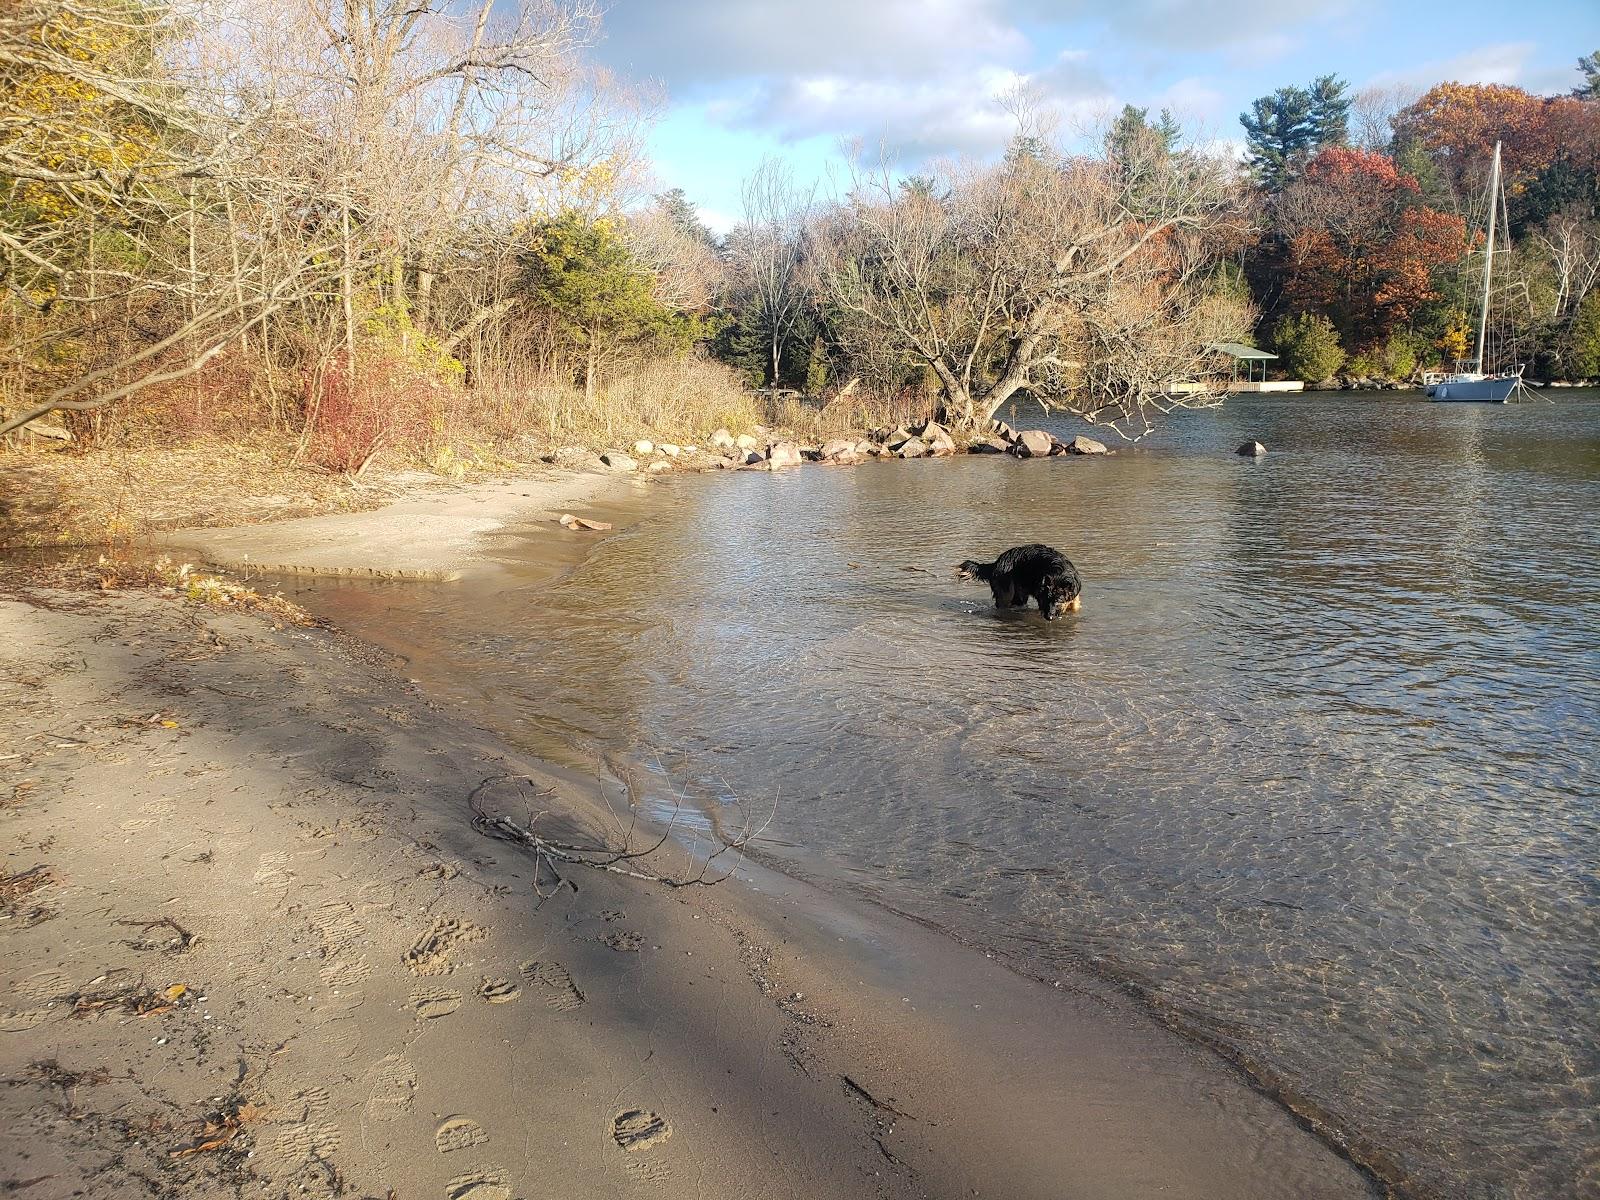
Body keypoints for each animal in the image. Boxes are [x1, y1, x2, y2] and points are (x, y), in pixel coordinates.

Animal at [953, 544, 1081, 620]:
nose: (1048, 617)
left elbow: (1074, 607)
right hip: (1006, 594)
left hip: (1019, 595)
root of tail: (997, 563)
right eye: (1046, 600)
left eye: (1058, 600)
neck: (1060, 574)